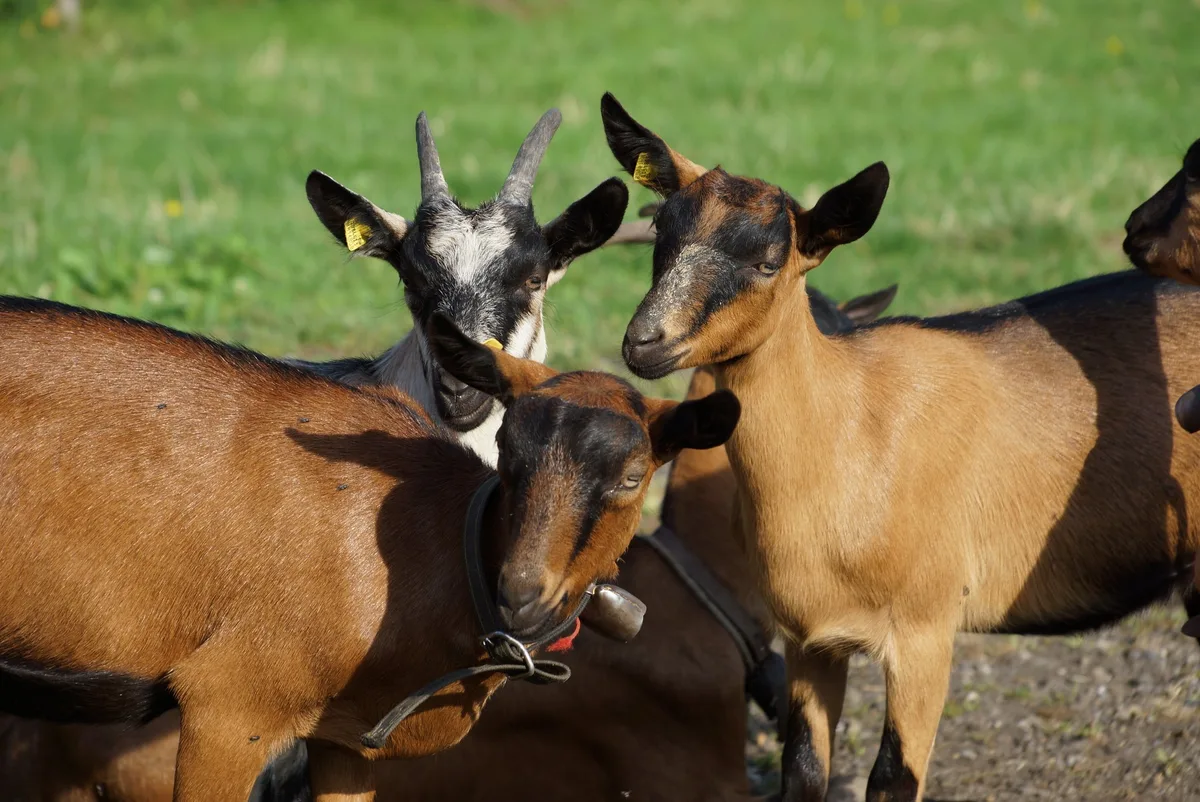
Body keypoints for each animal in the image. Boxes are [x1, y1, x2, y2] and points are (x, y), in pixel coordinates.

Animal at [601, 92, 1200, 802]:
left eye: (768, 261)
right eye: (661, 238)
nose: (644, 341)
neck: (851, 436)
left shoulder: (925, 631)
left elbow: (893, 777)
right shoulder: (810, 639)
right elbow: (803, 769)